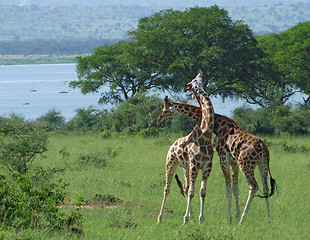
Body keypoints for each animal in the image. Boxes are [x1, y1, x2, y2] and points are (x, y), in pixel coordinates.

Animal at [157, 73, 216, 225]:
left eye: (200, 81)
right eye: (194, 82)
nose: (158, 120)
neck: (205, 135)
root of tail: (172, 145)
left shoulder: (207, 165)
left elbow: (201, 191)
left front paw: (200, 218)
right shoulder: (195, 164)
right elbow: (191, 192)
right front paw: (185, 219)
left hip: (185, 167)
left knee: (186, 186)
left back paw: (192, 216)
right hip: (171, 163)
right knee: (167, 189)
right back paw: (160, 218)